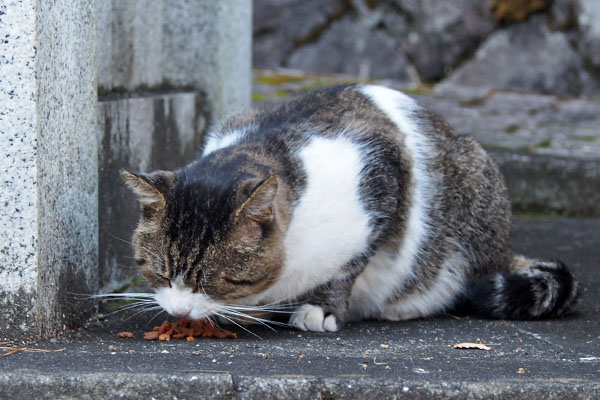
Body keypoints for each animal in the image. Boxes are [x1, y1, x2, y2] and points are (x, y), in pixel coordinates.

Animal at [120, 83, 580, 332]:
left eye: (216, 280)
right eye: (160, 272)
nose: (180, 310)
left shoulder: (382, 174)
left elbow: (349, 265)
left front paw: (321, 308)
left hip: (475, 177)